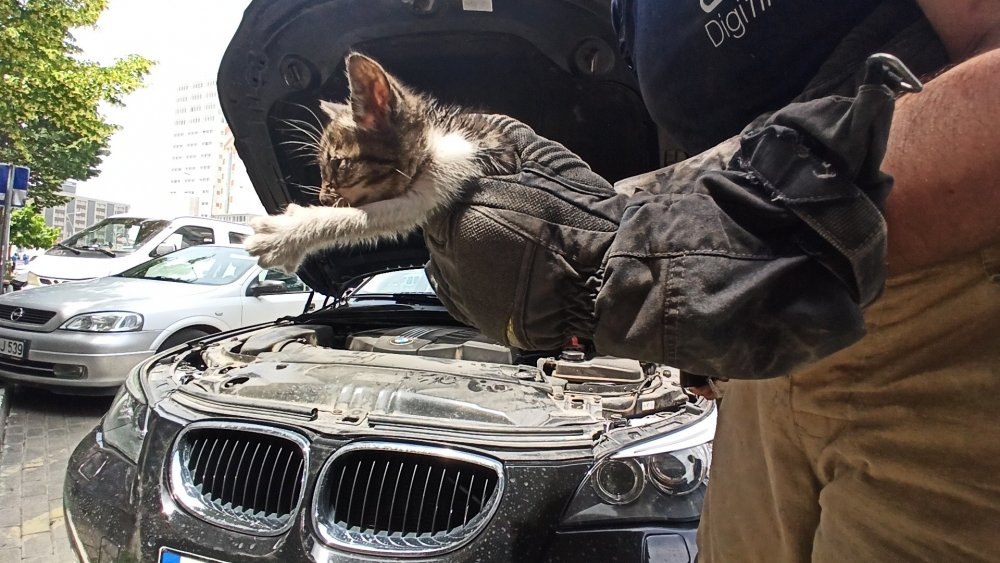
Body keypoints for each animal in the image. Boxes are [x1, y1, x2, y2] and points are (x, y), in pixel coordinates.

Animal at [247, 53, 520, 274]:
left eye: (338, 164)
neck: (430, 142)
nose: (323, 198)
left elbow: (362, 217)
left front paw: (284, 234)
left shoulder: (453, 166)